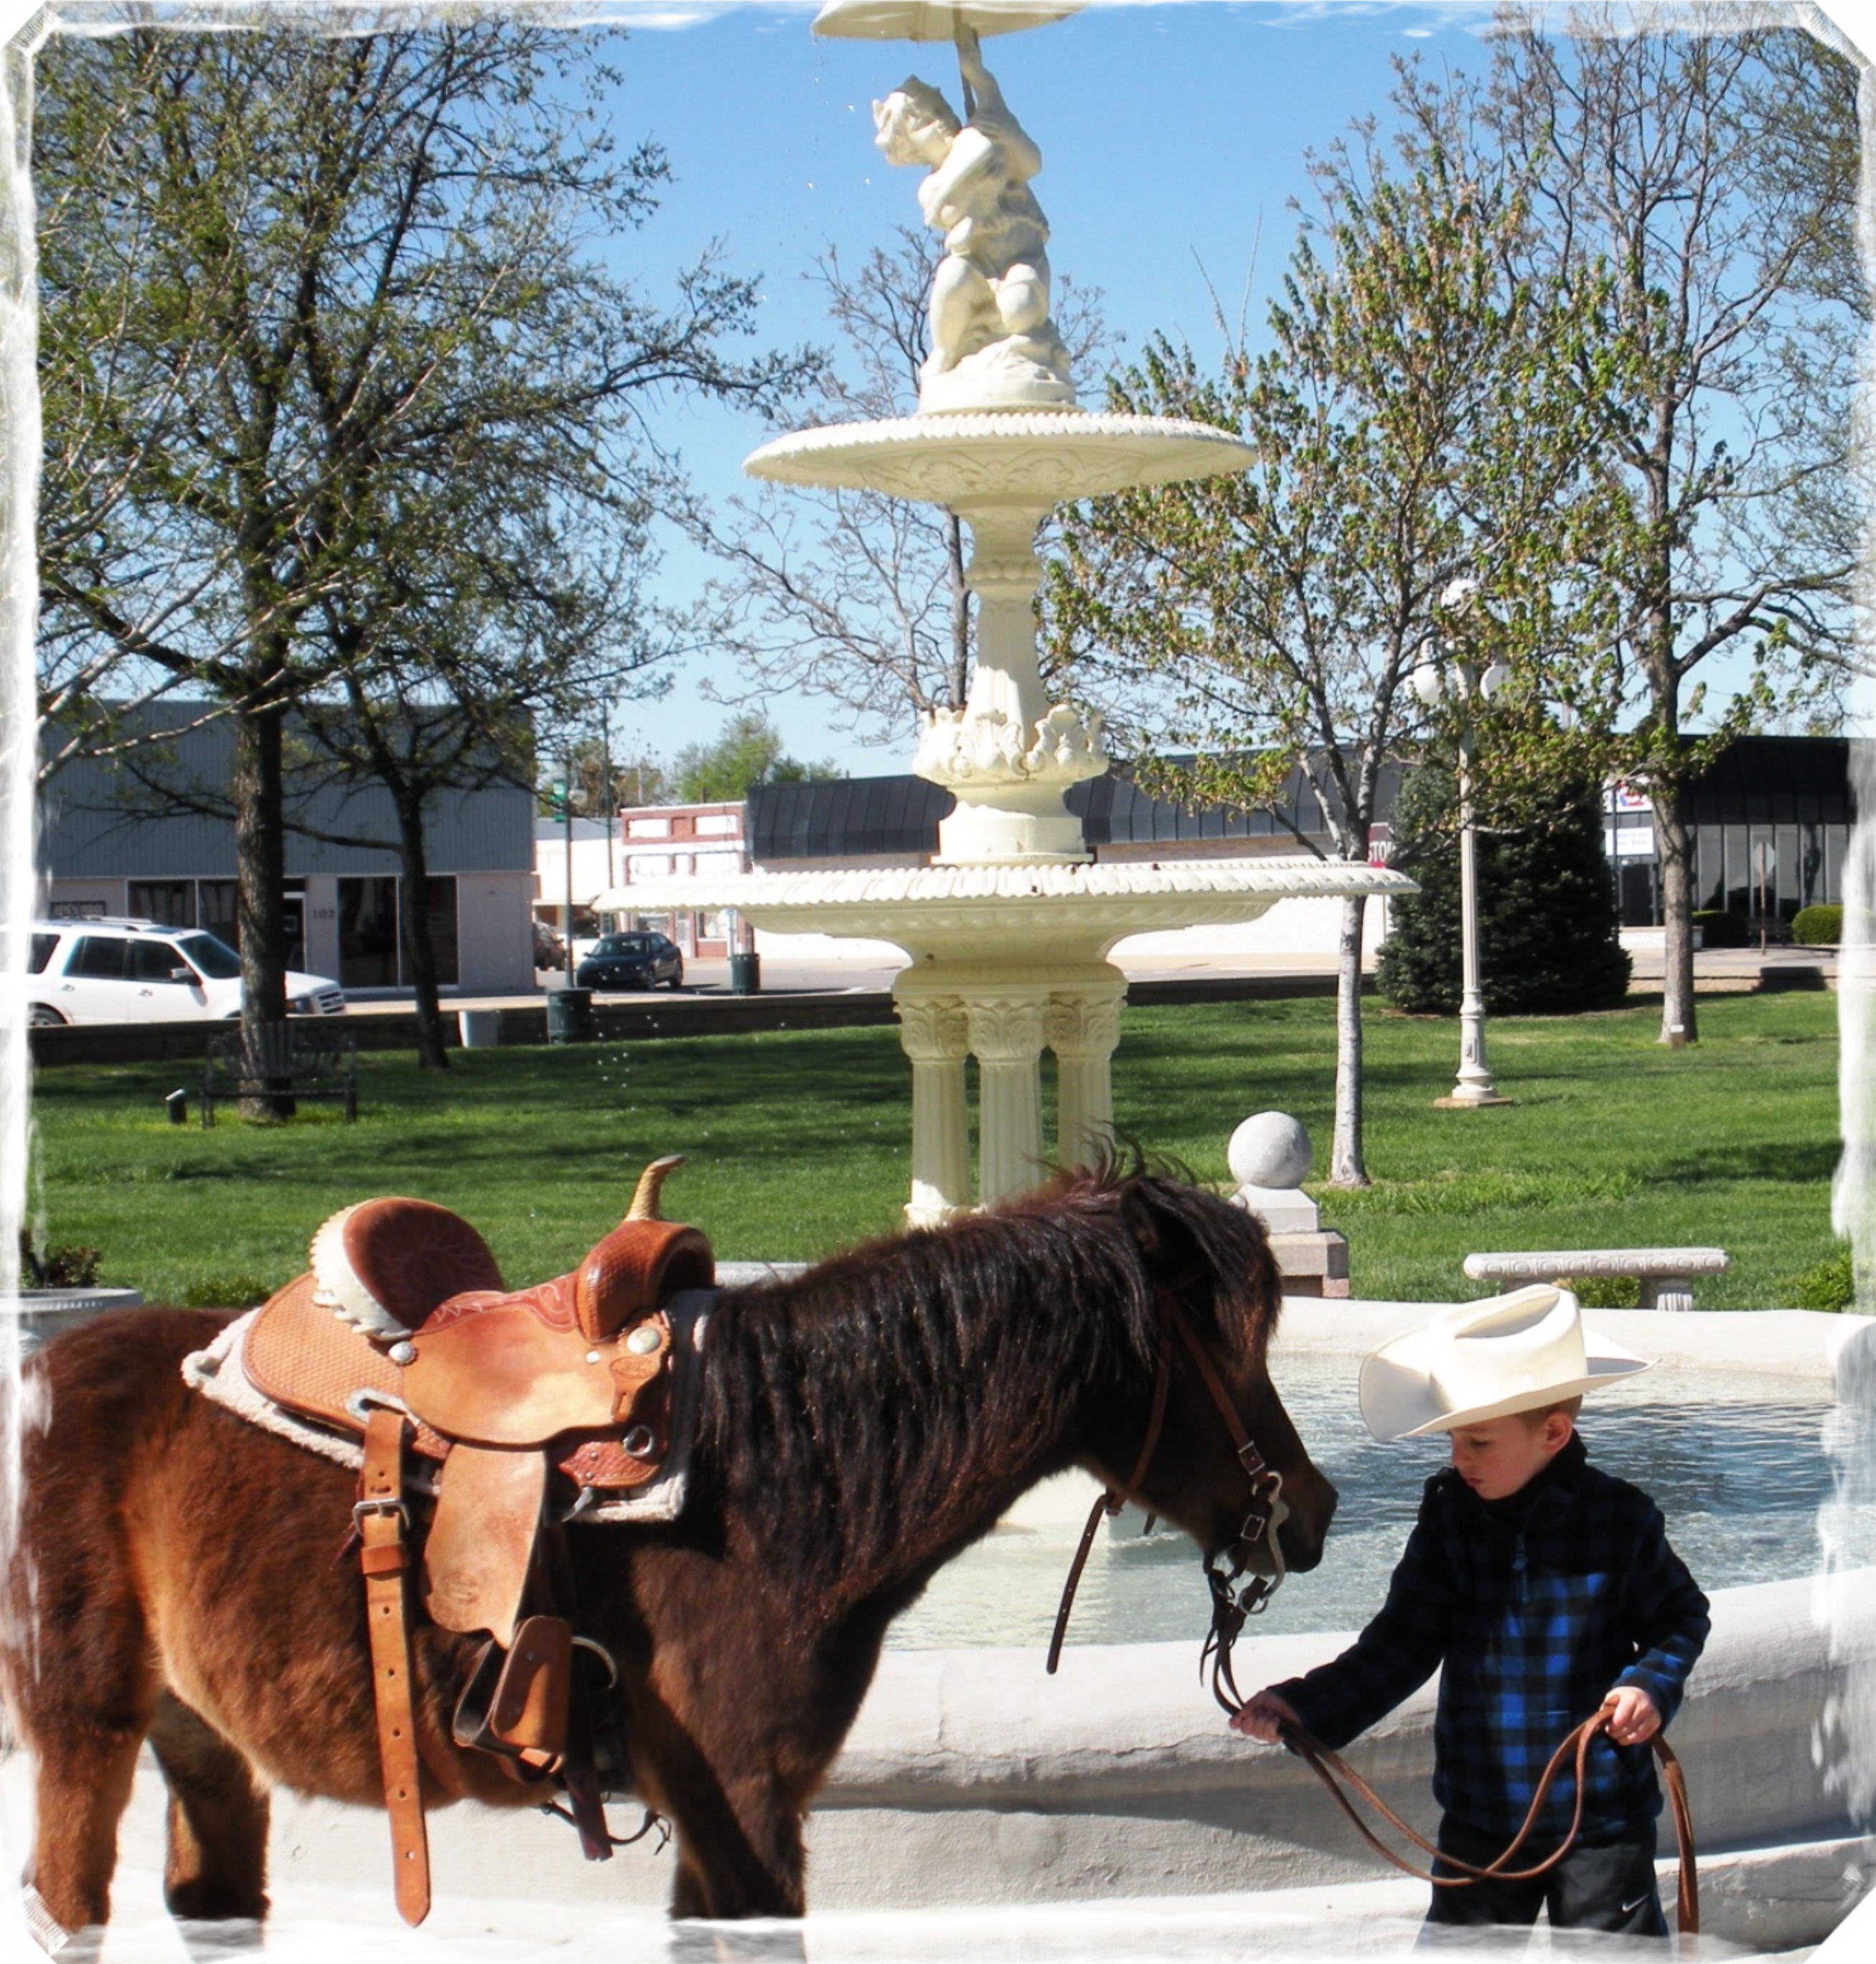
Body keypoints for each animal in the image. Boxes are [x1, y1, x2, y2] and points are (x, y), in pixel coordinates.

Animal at [0, 1162, 1336, 1932]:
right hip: (81, 1730)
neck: (786, 1470)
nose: (1310, 1512)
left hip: (203, 1745)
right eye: (1227, 1344)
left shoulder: (731, 1813)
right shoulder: (739, 1801)